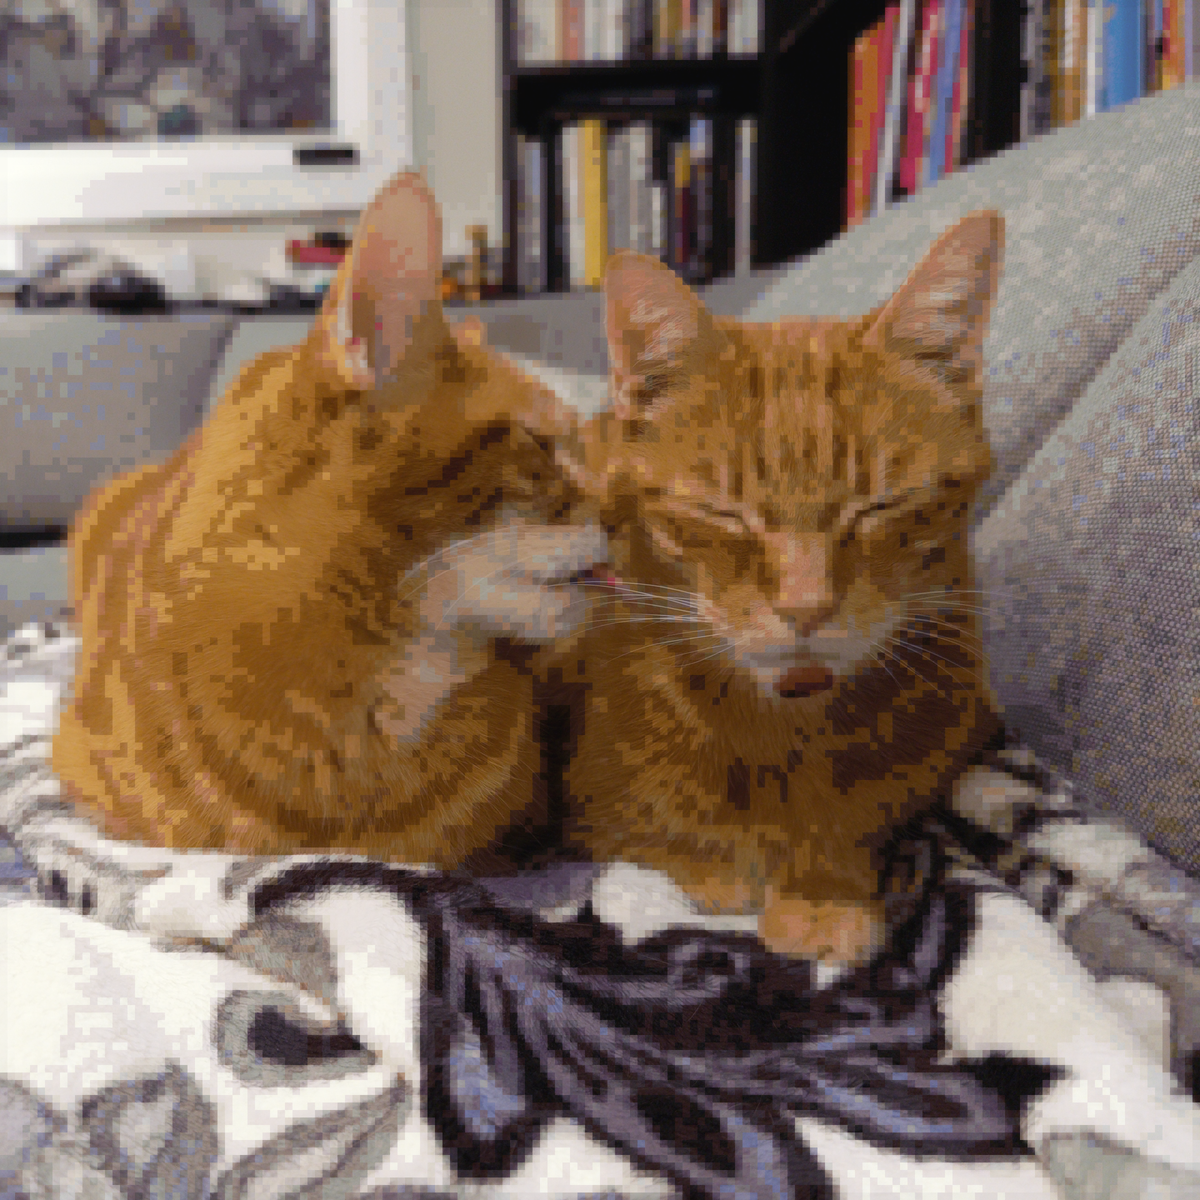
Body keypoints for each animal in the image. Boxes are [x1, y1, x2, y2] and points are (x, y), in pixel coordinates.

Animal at [554, 211, 1012, 964]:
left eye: (879, 506)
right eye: (725, 512)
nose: (805, 606)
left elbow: (865, 816)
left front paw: (826, 888)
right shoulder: (587, 798)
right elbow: (645, 835)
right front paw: (709, 863)